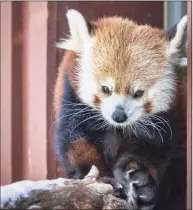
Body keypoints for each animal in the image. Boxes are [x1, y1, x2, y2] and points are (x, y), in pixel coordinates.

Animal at [52, 9, 187, 210]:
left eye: (138, 93)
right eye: (106, 89)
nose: (119, 116)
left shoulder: (165, 120)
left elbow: (152, 150)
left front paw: (142, 181)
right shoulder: (73, 103)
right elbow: (76, 143)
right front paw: (102, 180)